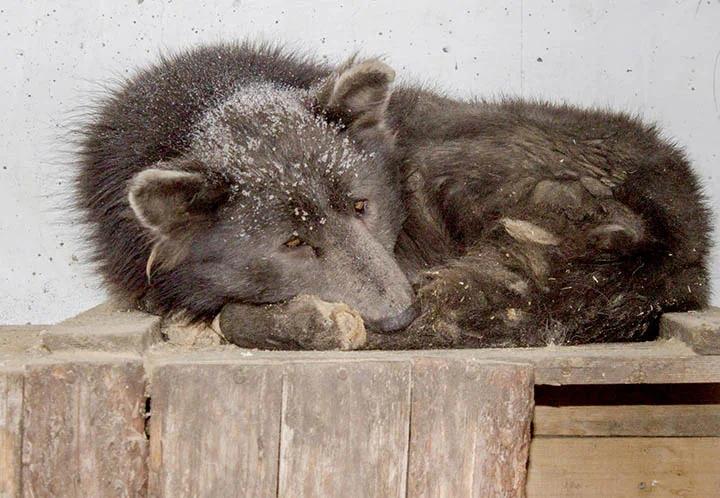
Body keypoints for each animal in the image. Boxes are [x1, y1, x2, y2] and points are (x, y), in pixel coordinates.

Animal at [75, 41, 711, 350]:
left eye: (361, 207)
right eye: (294, 242)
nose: (403, 314)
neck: (209, 100)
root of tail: (676, 236)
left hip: (445, 158)